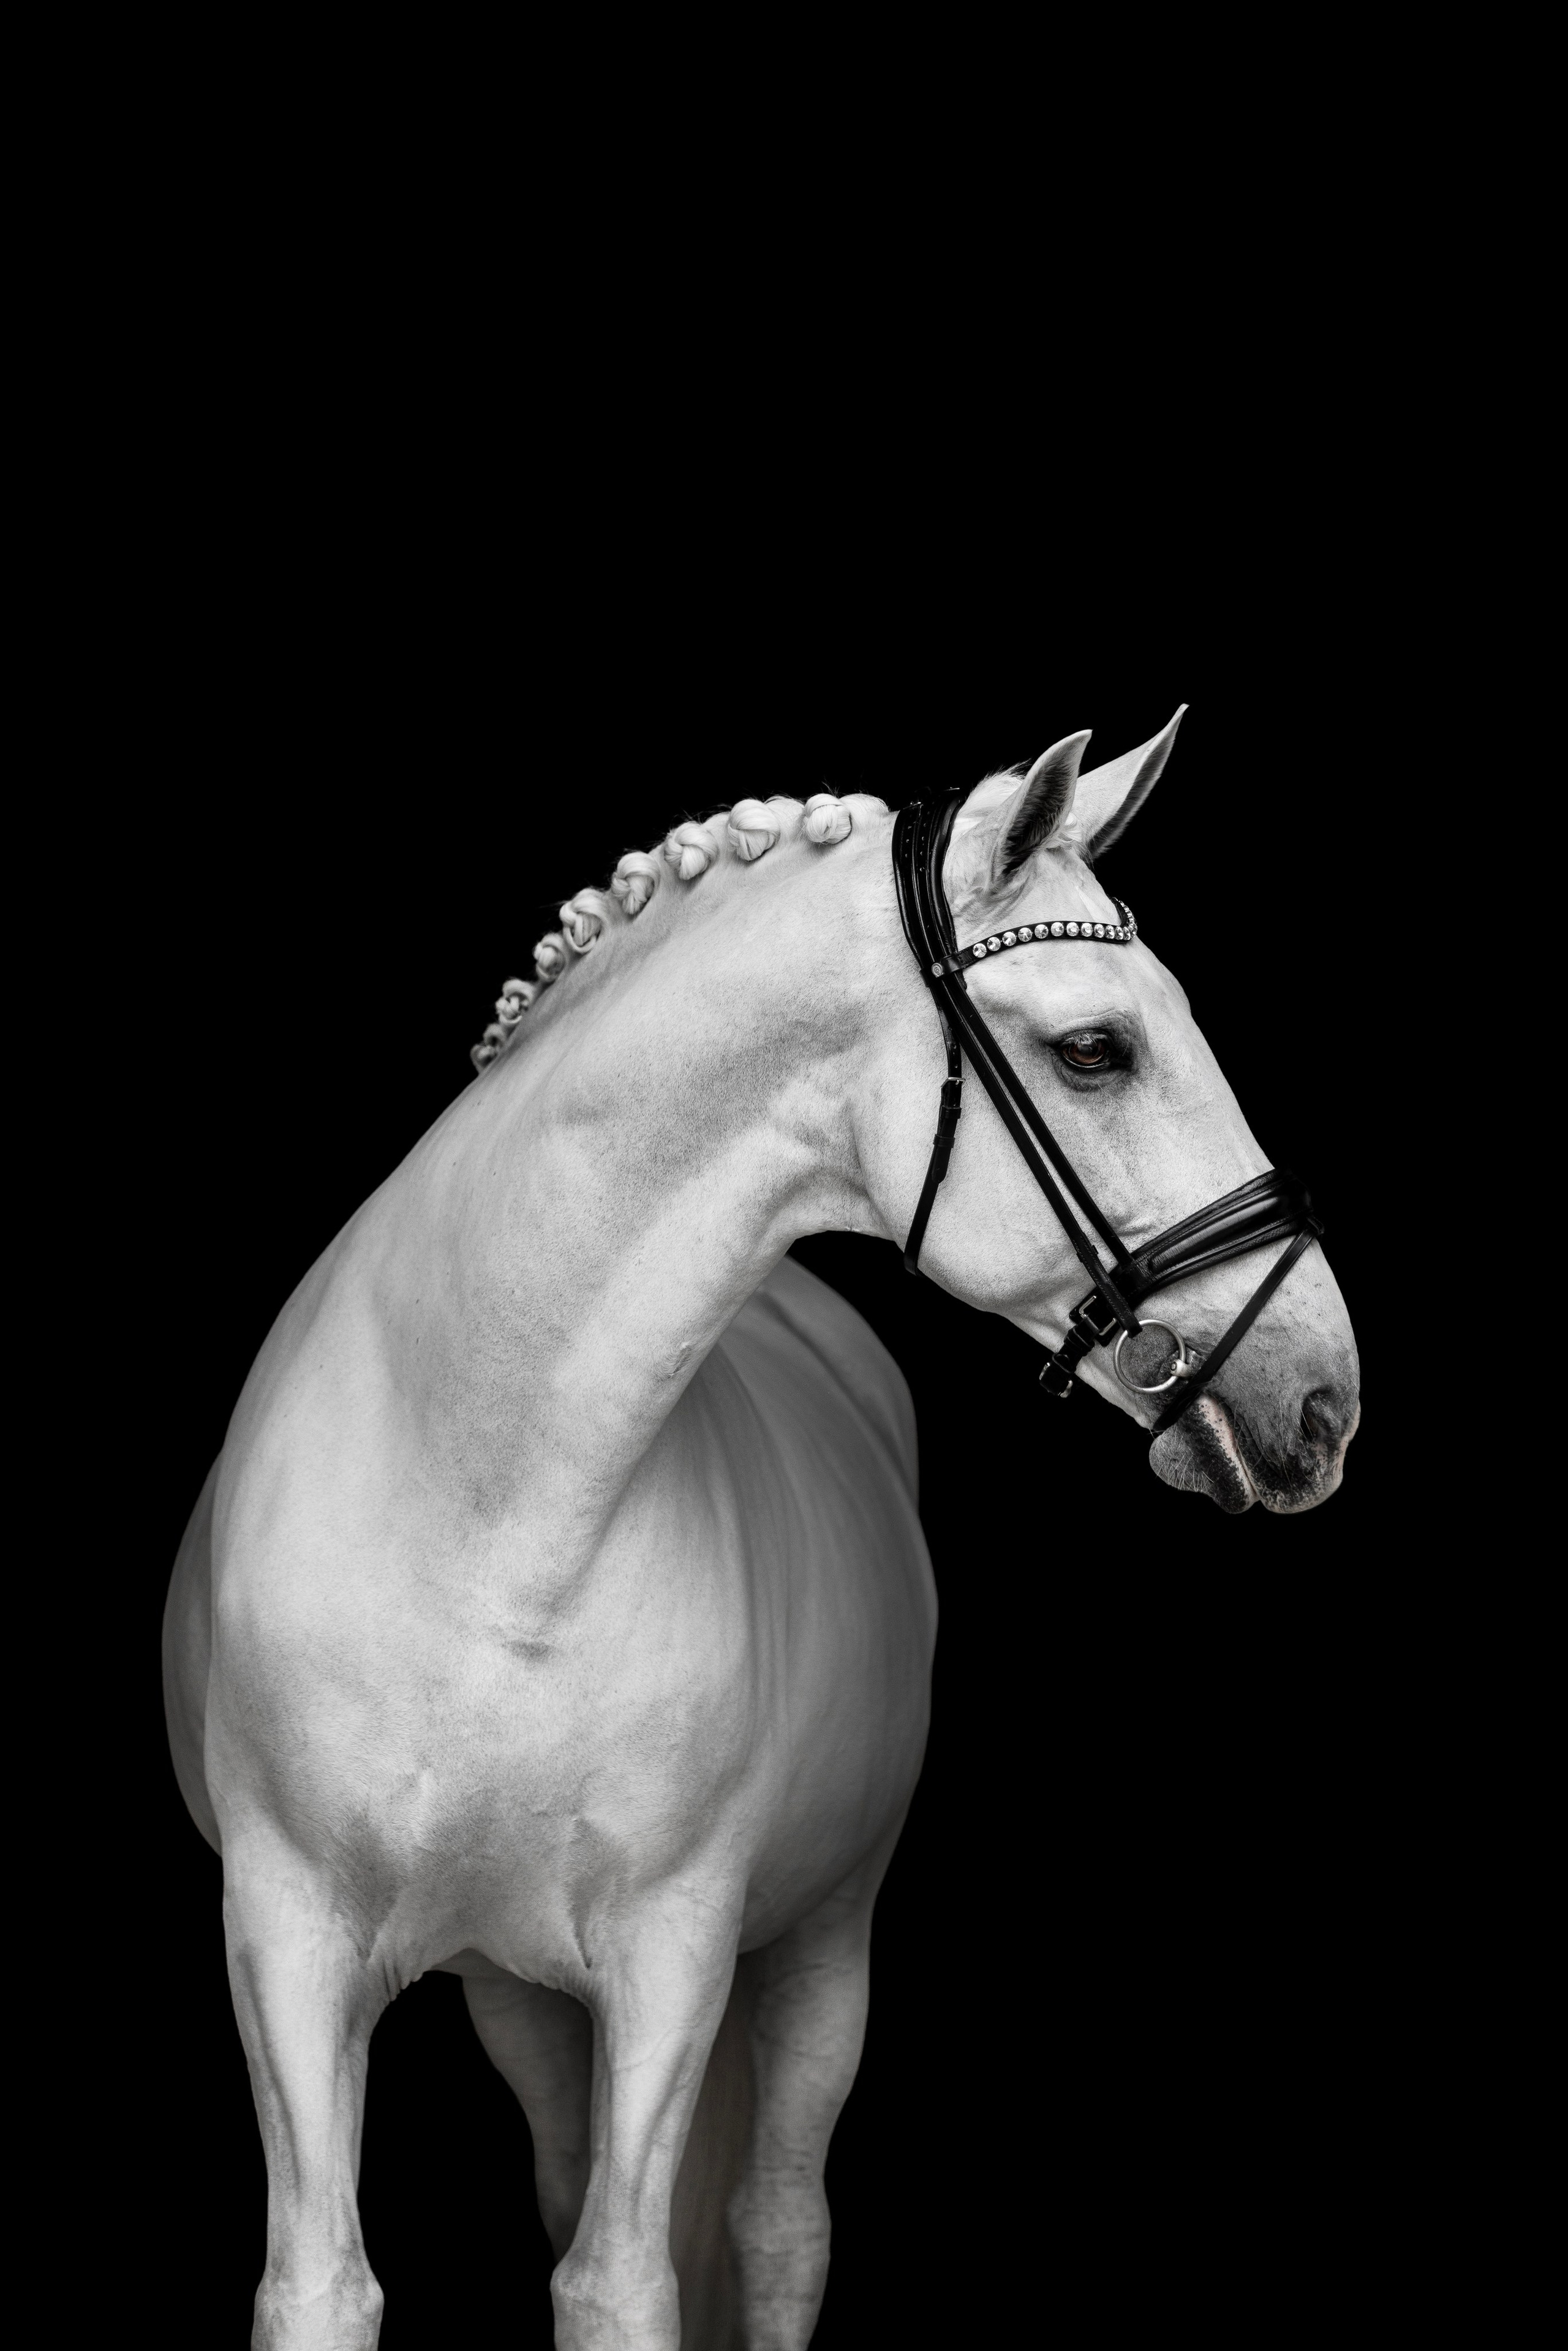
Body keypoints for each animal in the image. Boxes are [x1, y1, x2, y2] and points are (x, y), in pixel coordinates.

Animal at [163, 714, 1359, 2349]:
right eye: (1094, 1049)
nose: (1320, 1395)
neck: (483, 1517)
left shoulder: (673, 1950)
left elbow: (620, 2281)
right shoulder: (284, 1937)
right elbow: (323, 2284)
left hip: (819, 1945)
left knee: (778, 2225)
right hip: (514, 1988)